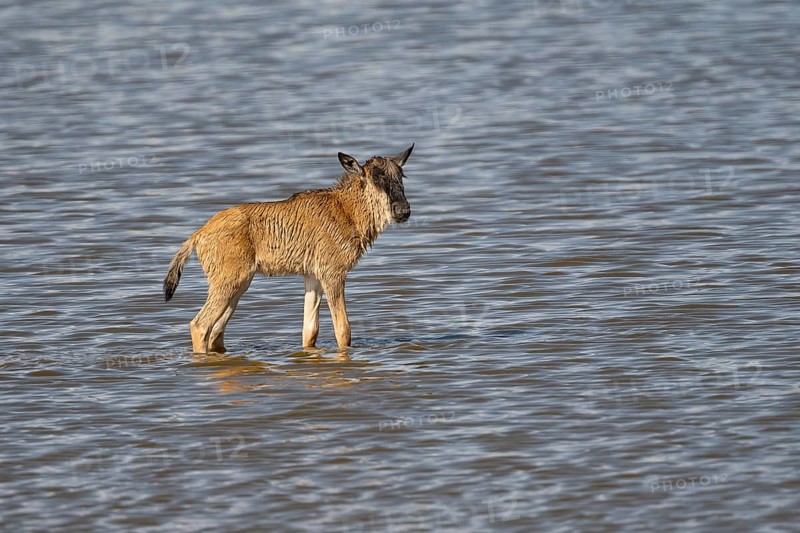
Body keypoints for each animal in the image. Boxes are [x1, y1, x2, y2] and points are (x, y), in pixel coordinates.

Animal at [163, 144, 414, 354]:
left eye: (401, 176)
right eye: (375, 180)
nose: (403, 210)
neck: (346, 210)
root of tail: (199, 235)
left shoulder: (312, 276)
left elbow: (309, 331)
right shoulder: (333, 274)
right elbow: (343, 330)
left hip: (239, 285)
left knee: (216, 331)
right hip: (229, 283)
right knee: (200, 325)